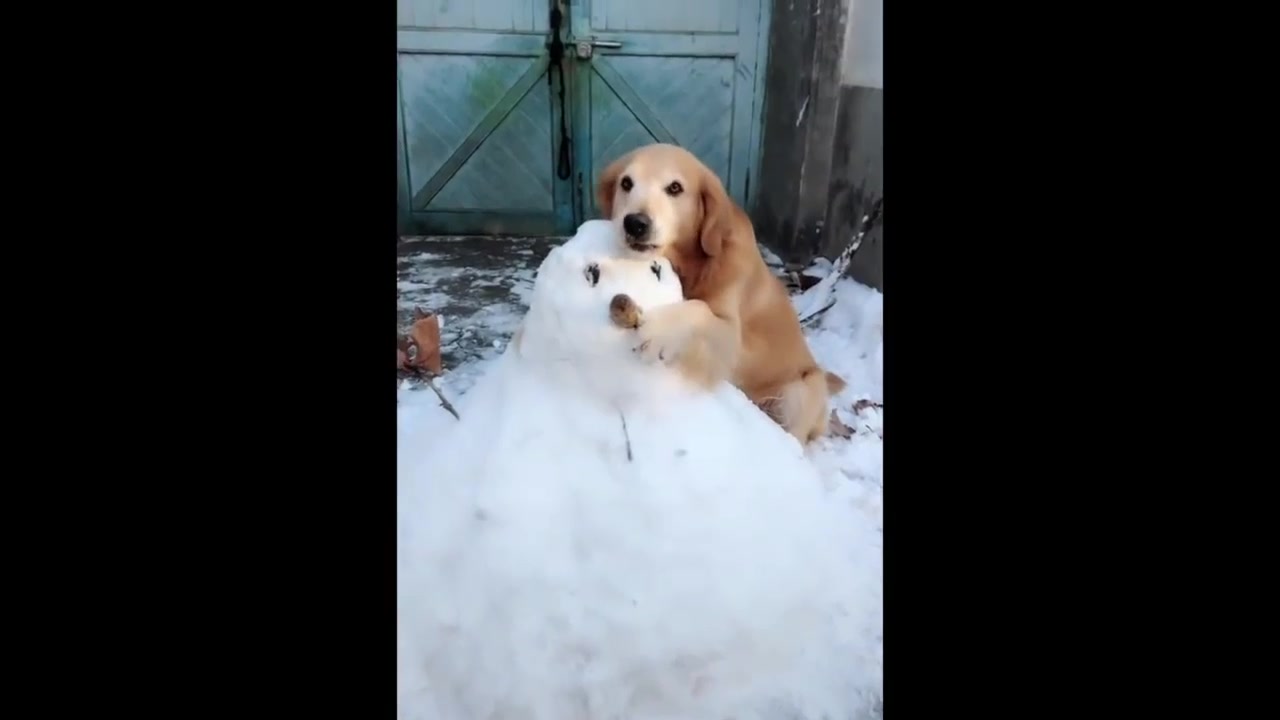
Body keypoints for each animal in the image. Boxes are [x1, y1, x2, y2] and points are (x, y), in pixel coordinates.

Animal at [596, 142, 844, 440]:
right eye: (626, 183)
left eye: (675, 188)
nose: (635, 223)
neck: (692, 264)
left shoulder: (731, 339)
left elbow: (699, 308)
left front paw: (658, 331)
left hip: (802, 390)